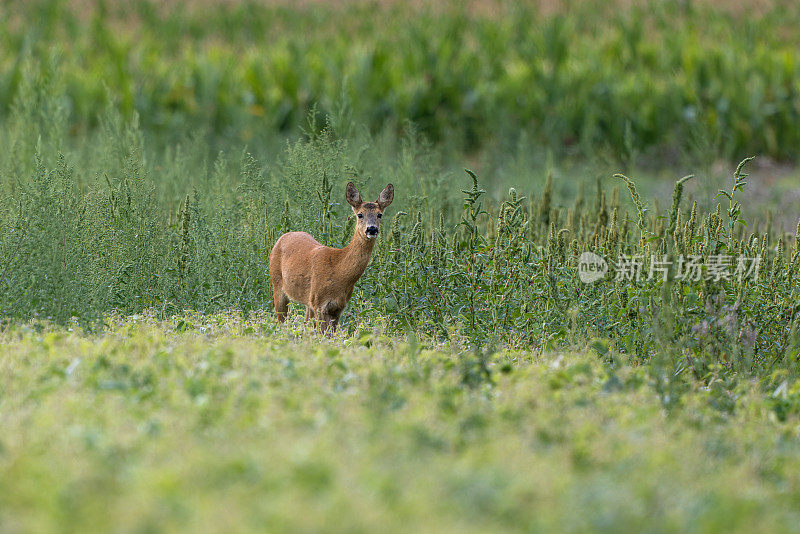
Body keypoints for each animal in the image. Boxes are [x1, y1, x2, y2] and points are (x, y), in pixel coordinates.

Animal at [268, 184, 394, 336]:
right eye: (360, 214)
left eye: (379, 215)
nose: (372, 229)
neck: (337, 269)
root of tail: (282, 237)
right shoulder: (319, 303)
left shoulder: (338, 307)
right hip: (277, 284)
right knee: (282, 322)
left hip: (307, 301)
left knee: (306, 324)